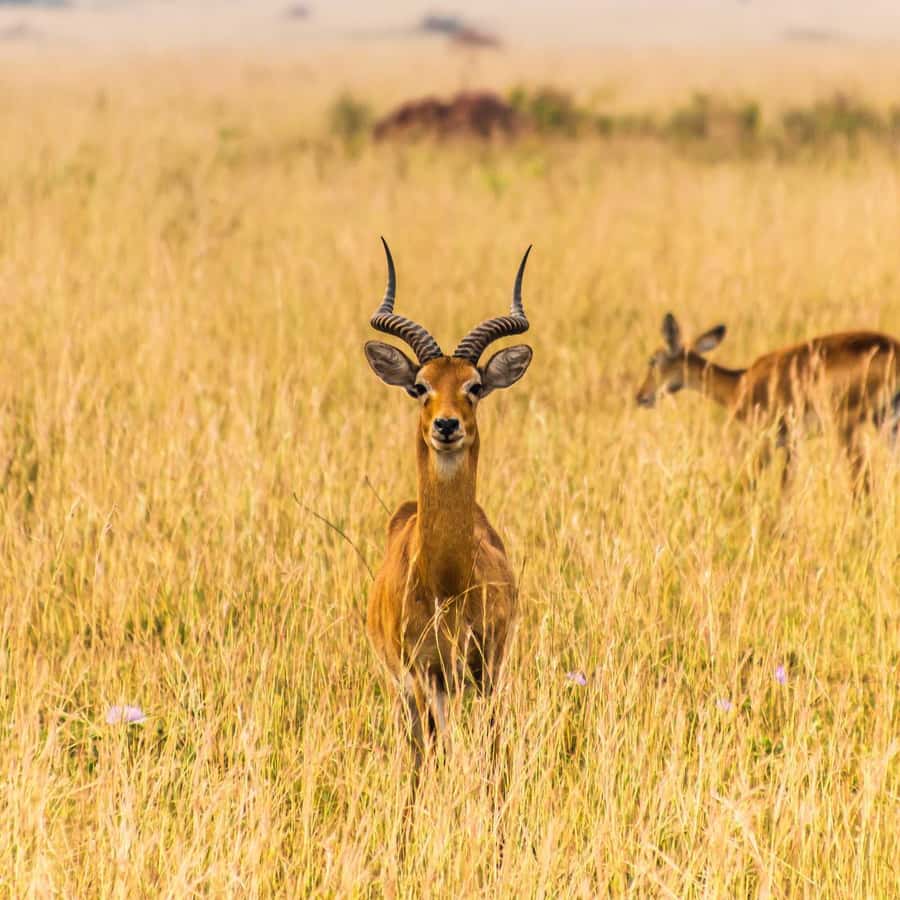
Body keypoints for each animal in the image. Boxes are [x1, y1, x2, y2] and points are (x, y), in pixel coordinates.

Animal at [363, 238, 533, 767]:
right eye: (420, 386)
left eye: (474, 386)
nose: (446, 425)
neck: (446, 583)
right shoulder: (421, 677)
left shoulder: (489, 670)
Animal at [636, 313, 900, 488]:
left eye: (653, 360)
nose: (641, 396)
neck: (739, 384)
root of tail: (893, 349)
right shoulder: (792, 444)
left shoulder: (767, 440)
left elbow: (748, 483)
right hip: (886, 423)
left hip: (848, 427)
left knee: (862, 483)